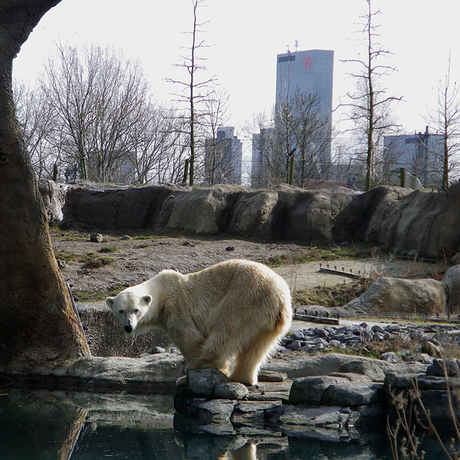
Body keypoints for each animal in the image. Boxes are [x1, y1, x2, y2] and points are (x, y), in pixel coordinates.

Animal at [106, 258, 292, 384]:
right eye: (121, 311)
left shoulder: (176, 306)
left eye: (136, 310)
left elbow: (188, 336)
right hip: (269, 320)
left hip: (245, 297)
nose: (128, 327)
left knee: (227, 330)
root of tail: (280, 298)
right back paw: (242, 377)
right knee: (257, 347)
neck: (162, 291)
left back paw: (202, 364)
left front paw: (190, 366)